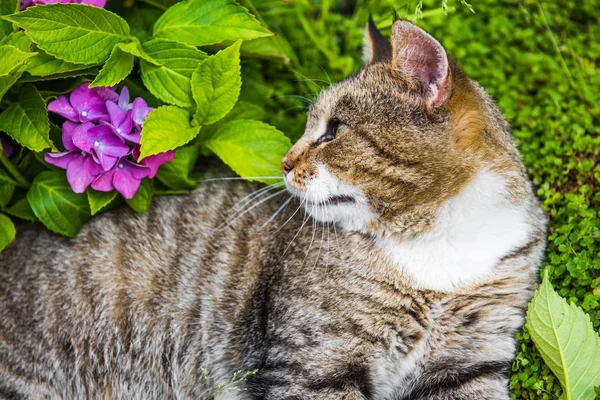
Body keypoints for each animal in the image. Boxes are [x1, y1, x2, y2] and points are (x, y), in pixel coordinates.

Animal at [0, 19, 548, 400]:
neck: (438, 246)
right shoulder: (315, 365)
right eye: (311, 127)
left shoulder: (468, 363)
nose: (284, 162)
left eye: (334, 131)